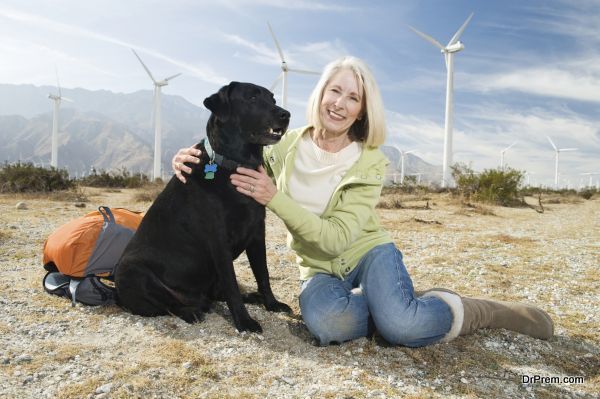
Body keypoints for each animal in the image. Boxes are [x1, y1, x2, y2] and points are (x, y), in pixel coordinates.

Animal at [115, 82, 292, 334]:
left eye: (273, 99)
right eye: (252, 98)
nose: (286, 114)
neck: (235, 166)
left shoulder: (258, 232)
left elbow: (263, 274)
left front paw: (272, 304)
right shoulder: (218, 241)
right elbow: (232, 285)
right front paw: (244, 321)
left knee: (215, 294)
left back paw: (250, 297)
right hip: (131, 271)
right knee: (167, 304)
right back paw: (191, 311)